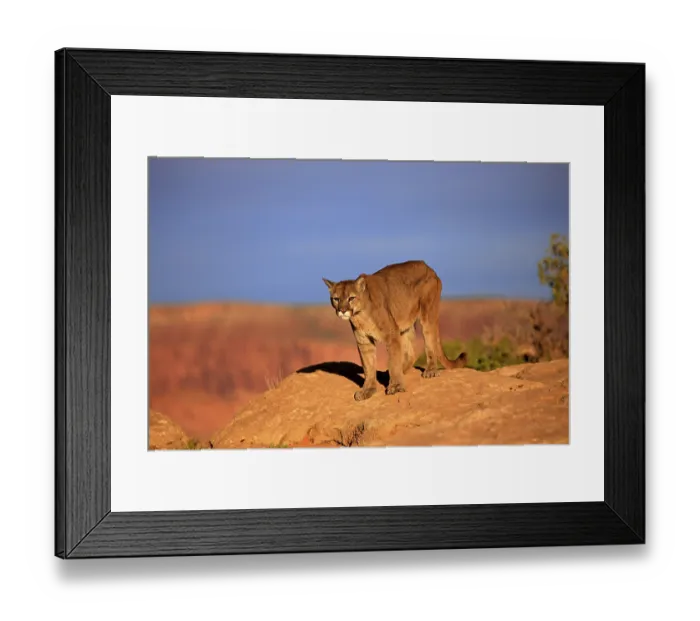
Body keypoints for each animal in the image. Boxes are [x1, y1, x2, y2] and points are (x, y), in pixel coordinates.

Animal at [322, 260, 468, 401]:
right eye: (336, 299)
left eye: (351, 298)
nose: (342, 310)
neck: (361, 315)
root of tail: (429, 268)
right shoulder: (364, 341)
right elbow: (368, 366)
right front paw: (368, 390)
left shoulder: (392, 335)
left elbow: (393, 361)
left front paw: (396, 386)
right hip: (404, 326)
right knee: (410, 354)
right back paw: (389, 374)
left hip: (427, 314)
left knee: (429, 341)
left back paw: (430, 370)